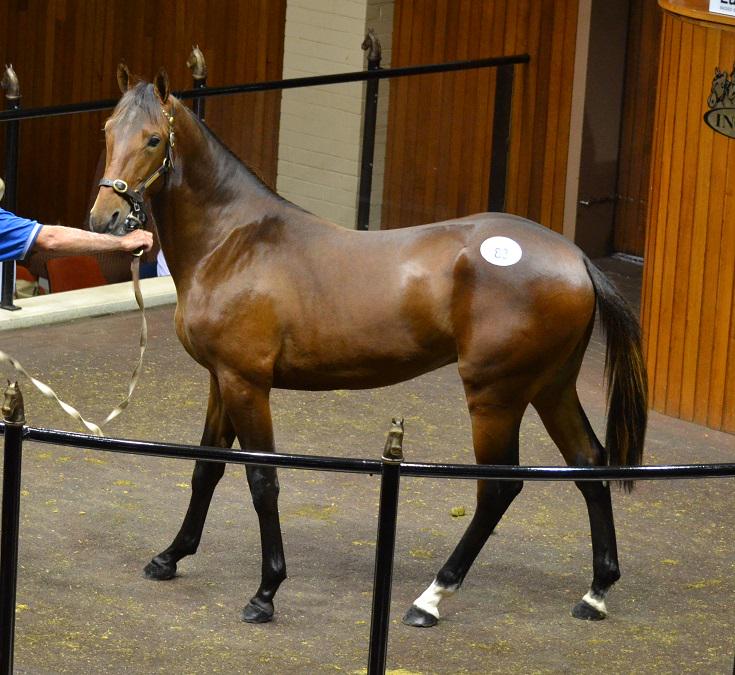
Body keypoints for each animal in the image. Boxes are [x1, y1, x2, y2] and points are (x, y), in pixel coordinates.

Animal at [89, 65, 647, 627]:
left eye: (153, 138)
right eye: (109, 131)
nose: (104, 218)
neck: (234, 242)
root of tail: (575, 257)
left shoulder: (247, 383)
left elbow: (262, 480)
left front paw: (266, 591)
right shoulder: (219, 379)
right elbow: (206, 468)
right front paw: (170, 556)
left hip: (496, 396)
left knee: (499, 488)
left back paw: (431, 598)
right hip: (550, 386)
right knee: (589, 465)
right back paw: (596, 591)